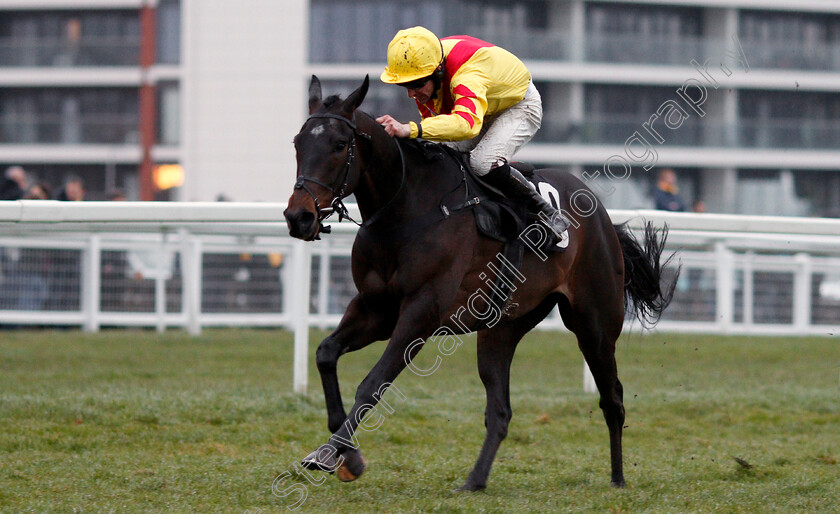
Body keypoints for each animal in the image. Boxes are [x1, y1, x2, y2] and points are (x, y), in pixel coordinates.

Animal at [282, 75, 676, 488]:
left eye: (339, 145)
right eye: (298, 143)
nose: (299, 217)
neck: (408, 209)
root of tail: (602, 215)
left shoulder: (420, 313)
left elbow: (373, 383)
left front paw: (332, 453)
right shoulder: (376, 308)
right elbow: (326, 353)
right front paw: (347, 456)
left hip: (594, 324)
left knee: (612, 399)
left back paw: (617, 479)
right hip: (502, 327)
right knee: (500, 411)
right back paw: (475, 480)